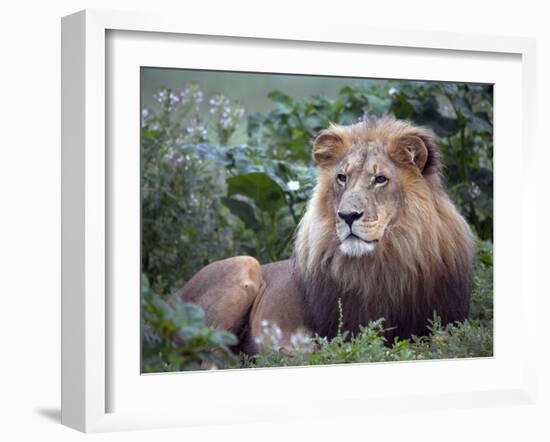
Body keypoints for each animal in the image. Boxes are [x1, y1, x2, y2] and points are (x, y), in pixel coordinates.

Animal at [170, 116, 476, 352]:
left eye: (380, 179)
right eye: (342, 178)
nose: (348, 216)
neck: (385, 264)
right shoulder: (337, 335)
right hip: (244, 265)